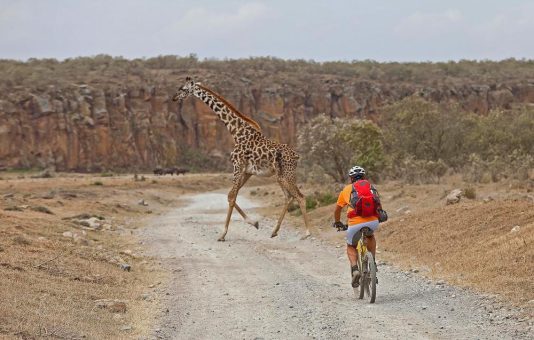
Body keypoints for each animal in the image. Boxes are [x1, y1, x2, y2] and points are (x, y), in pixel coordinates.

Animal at [172, 77, 314, 242]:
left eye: (183, 89)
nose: (174, 98)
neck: (236, 131)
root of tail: (297, 156)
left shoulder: (237, 166)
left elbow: (232, 196)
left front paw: (223, 234)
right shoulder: (247, 171)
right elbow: (230, 195)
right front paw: (254, 223)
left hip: (286, 175)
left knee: (300, 197)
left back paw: (307, 233)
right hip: (281, 176)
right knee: (289, 197)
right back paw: (274, 231)